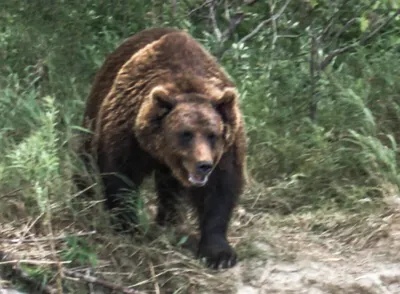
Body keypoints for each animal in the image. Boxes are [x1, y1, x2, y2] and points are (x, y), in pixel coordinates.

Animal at [78, 27, 247, 268]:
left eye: (212, 135)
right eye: (185, 134)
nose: (203, 165)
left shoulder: (227, 148)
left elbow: (219, 190)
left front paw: (220, 253)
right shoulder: (129, 133)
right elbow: (120, 175)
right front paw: (128, 227)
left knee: (170, 190)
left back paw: (168, 222)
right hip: (96, 104)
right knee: (85, 150)